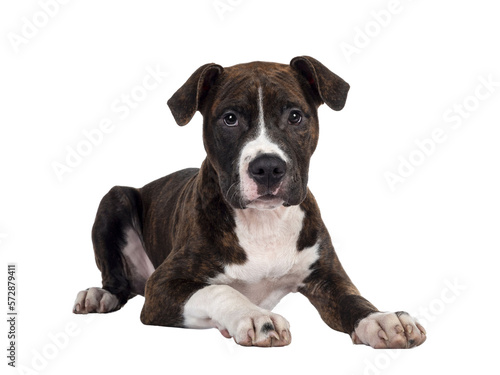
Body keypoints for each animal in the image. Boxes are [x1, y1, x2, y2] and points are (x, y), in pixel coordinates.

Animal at [73, 55, 426, 350]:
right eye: (230, 118)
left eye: (295, 116)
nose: (268, 167)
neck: (264, 221)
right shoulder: (162, 286)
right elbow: (220, 289)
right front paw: (256, 317)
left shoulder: (327, 277)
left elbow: (353, 299)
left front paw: (381, 319)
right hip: (114, 198)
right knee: (116, 280)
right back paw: (99, 296)